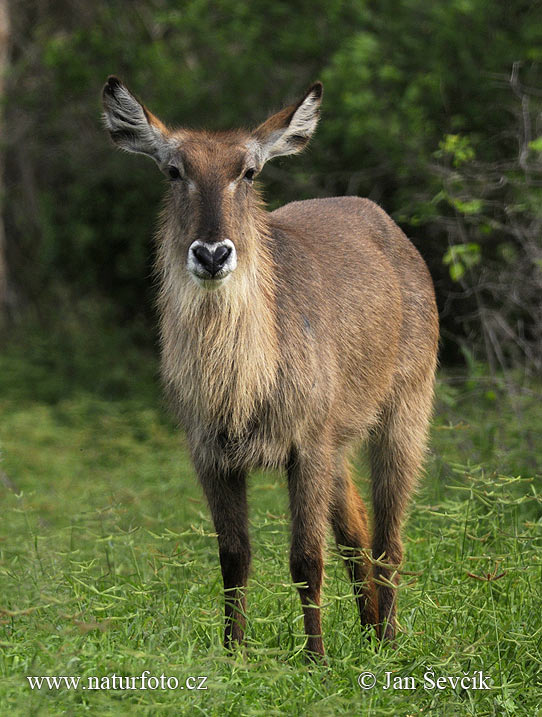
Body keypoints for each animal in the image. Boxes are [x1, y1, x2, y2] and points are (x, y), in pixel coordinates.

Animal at [103, 75, 442, 656]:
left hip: (404, 412)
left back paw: (389, 641)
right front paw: (233, 652)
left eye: (249, 171)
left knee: (388, 540)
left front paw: (316, 657)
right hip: (338, 444)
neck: (241, 383)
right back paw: (370, 630)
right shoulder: (211, 455)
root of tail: (388, 225)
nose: (212, 254)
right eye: (174, 170)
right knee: (356, 530)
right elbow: (233, 558)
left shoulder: (306, 446)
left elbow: (306, 558)